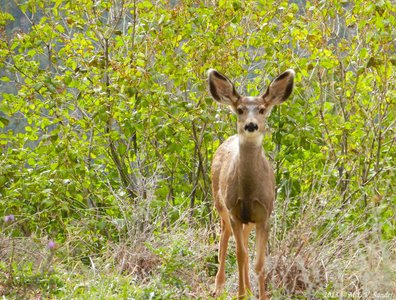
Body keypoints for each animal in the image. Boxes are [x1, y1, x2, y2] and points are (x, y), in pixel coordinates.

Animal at [207, 68, 294, 300]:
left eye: (262, 110)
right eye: (240, 110)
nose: (251, 125)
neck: (248, 191)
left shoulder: (264, 213)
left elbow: (259, 262)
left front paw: (259, 295)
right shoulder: (235, 212)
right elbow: (240, 255)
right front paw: (241, 295)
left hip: (248, 219)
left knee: (243, 242)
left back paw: (246, 287)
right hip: (220, 204)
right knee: (225, 238)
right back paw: (219, 287)